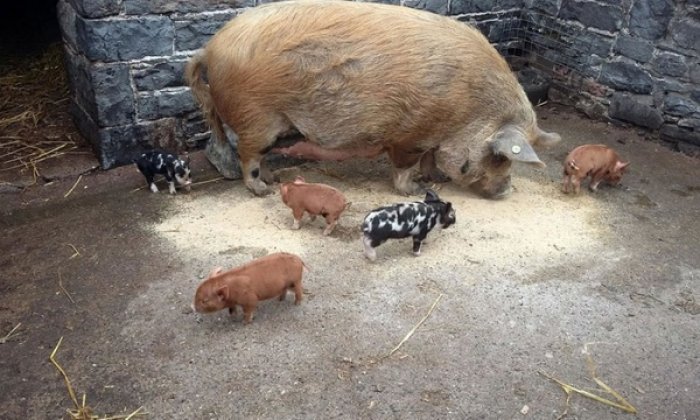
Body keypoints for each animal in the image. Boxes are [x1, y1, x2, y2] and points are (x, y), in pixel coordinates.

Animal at [185, 0, 556, 199]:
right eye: (499, 157)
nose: (507, 191)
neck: (467, 109)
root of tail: (209, 49)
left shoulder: (433, 135)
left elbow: (430, 159)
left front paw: (433, 178)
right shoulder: (410, 134)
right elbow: (405, 166)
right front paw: (414, 190)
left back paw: (273, 180)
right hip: (257, 118)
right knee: (248, 154)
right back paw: (263, 190)